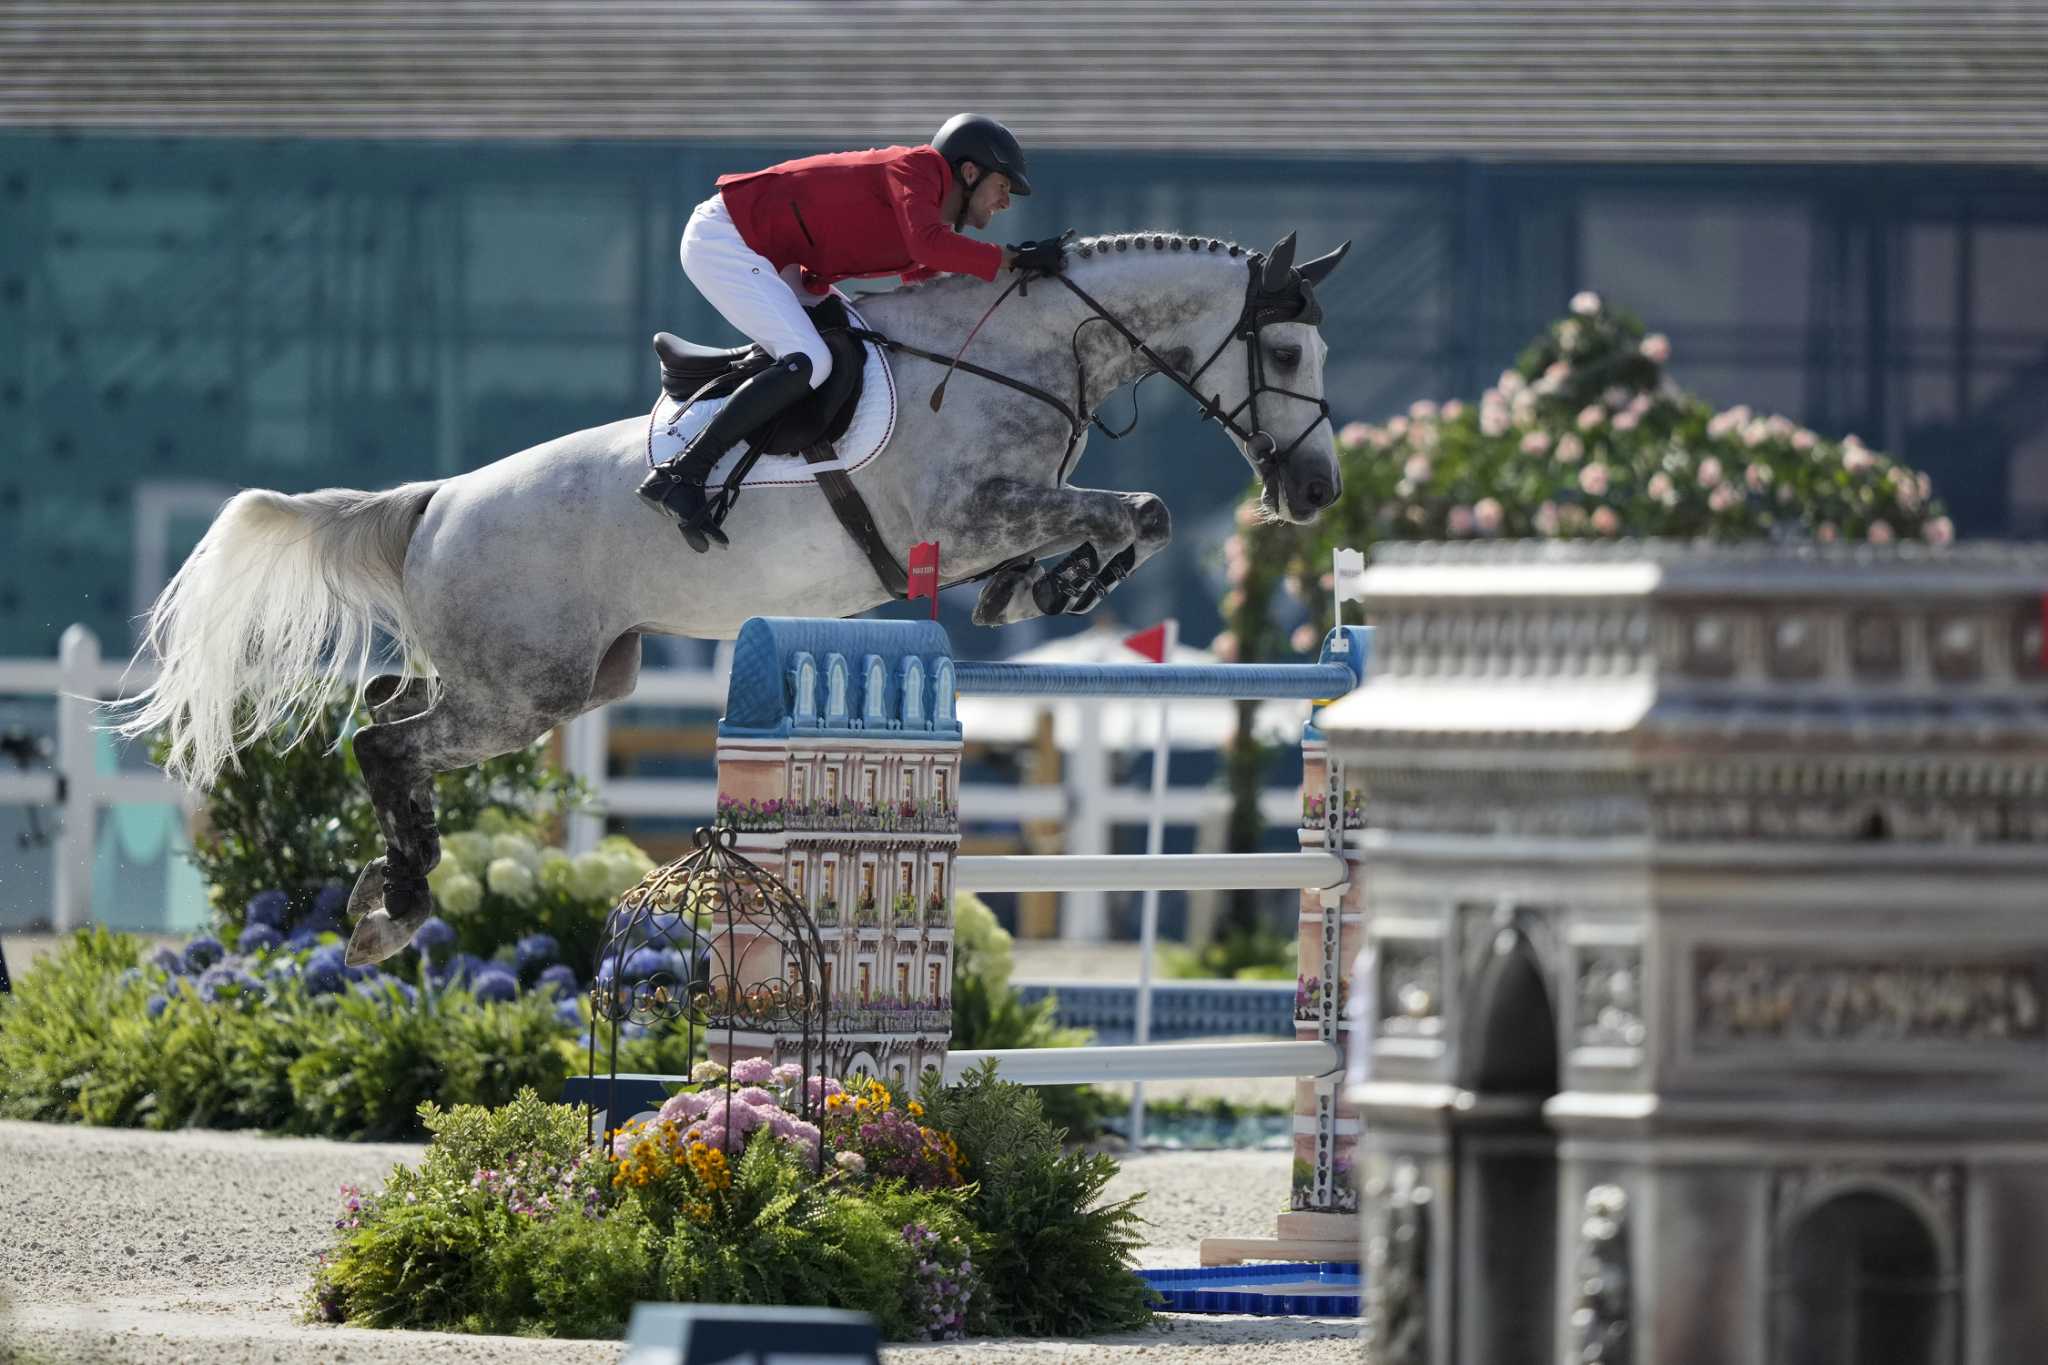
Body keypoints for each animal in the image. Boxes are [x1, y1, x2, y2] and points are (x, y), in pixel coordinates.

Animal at [119, 229, 1351, 965]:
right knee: (385, 740)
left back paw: (383, 893)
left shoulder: (998, 518)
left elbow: (1114, 524)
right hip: (525, 689)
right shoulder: (975, 511)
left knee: (385, 714)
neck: (1026, 351)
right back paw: (407, 898)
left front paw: (1046, 586)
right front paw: (1064, 576)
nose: (1315, 492)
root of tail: (434, 502)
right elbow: (1141, 509)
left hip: (563, 682)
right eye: (1287, 351)